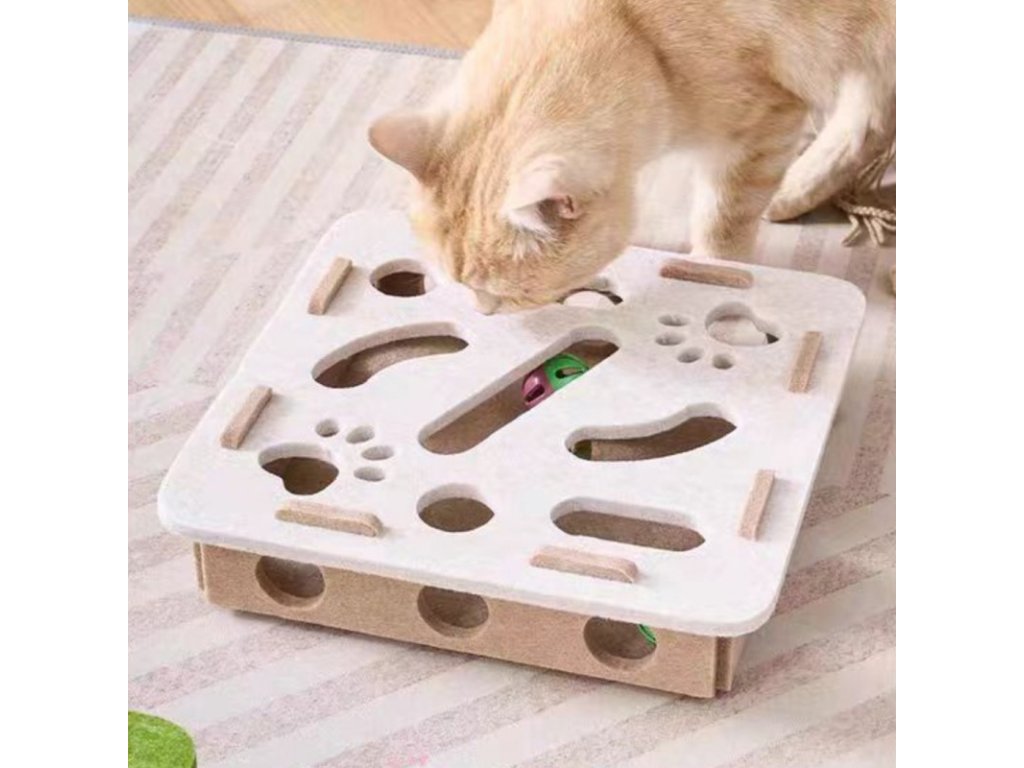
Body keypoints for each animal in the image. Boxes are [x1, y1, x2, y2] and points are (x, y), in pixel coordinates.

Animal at [369, 0, 895, 312]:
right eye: (459, 285)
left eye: (506, 294)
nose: (483, 311)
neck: (640, 37)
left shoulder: (759, 128)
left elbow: (721, 230)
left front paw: (713, 274)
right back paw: (797, 190)